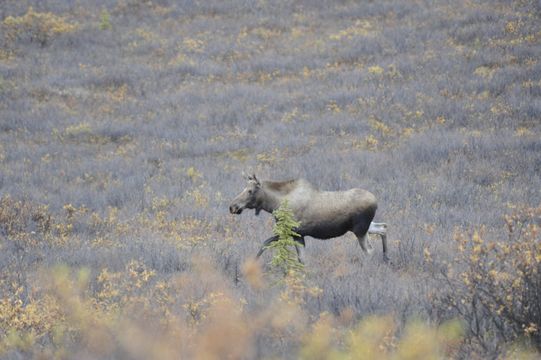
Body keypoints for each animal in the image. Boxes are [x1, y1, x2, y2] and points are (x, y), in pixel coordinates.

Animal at [228, 174, 388, 262]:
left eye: (250, 191)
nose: (232, 206)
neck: (275, 205)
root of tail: (376, 201)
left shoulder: (295, 232)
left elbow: (299, 258)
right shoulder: (292, 233)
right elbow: (265, 243)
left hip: (360, 230)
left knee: (369, 250)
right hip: (364, 227)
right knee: (383, 227)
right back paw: (386, 258)